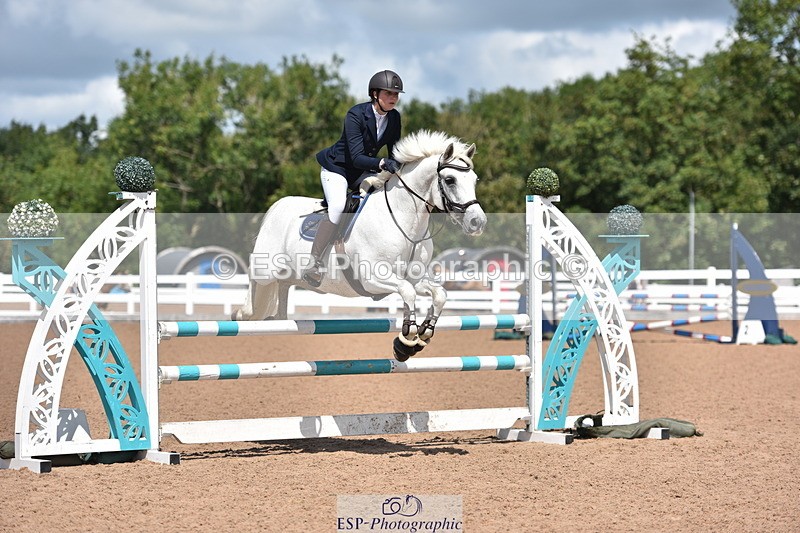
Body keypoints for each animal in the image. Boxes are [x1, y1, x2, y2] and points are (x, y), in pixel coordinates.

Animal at [233, 130, 487, 361]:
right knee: (253, 291)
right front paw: (405, 342)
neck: (404, 221)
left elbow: (438, 294)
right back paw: (240, 314)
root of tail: (278, 205)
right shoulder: (373, 277)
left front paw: (423, 334)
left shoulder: (415, 276)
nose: (478, 222)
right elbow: (407, 291)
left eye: (474, 180)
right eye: (450, 180)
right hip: (266, 272)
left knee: (283, 290)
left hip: (287, 277)